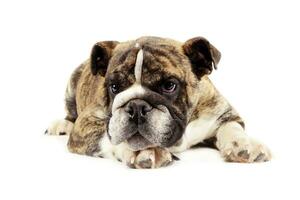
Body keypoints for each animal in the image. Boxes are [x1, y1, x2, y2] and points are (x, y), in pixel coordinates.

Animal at [45, 36, 272, 168]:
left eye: (169, 85)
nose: (136, 106)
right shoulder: (86, 124)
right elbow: (110, 136)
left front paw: (244, 144)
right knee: (70, 113)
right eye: (114, 87)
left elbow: (232, 128)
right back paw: (61, 124)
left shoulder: (223, 115)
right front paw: (144, 150)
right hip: (72, 84)